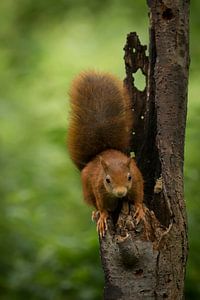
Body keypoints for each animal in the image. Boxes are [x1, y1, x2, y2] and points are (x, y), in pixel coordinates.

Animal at [68, 70, 145, 237]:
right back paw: (95, 213)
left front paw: (140, 209)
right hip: (87, 189)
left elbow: (138, 196)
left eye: (129, 177)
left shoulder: (137, 180)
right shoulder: (99, 189)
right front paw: (103, 216)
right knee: (93, 203)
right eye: (107, 180)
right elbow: (102, 206)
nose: (121, 192)